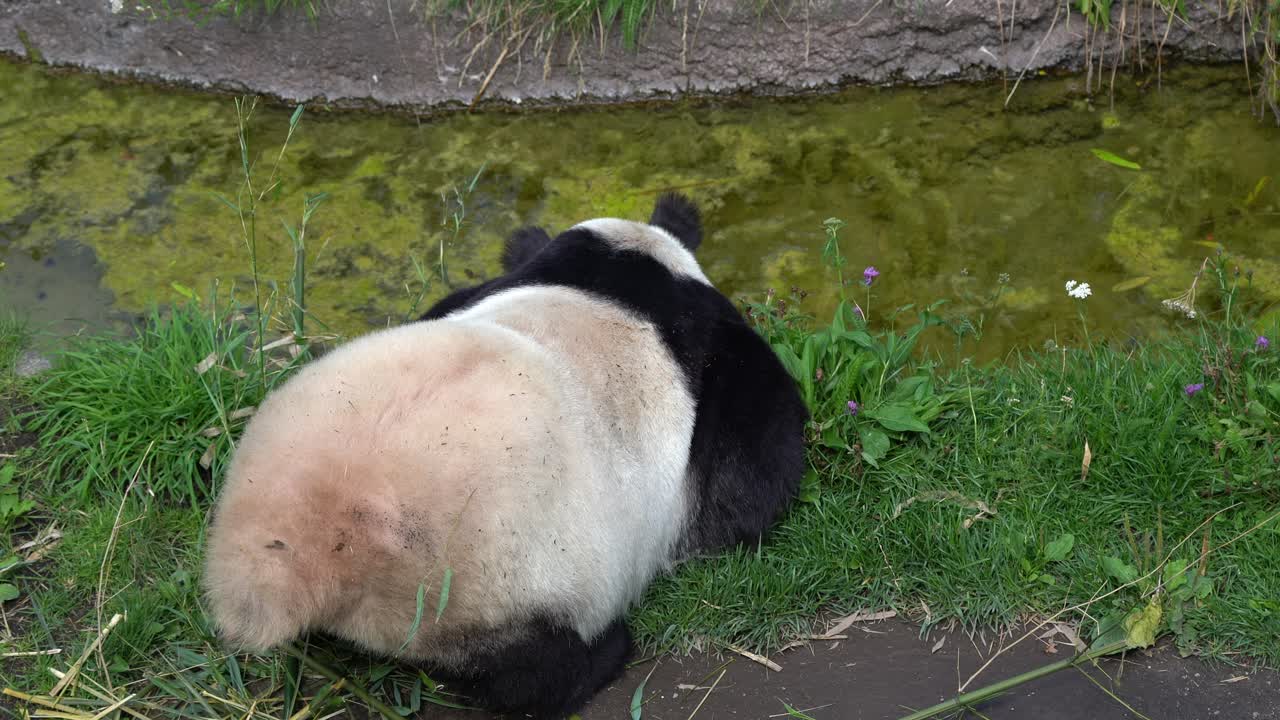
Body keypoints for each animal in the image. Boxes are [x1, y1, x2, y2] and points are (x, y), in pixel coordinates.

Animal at [202, 193, 808, 719]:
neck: (616, 285)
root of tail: (299, 559)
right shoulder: (707, 340)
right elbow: (756, 456)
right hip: (489, 589)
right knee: (528, 676)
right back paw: (605, 653)